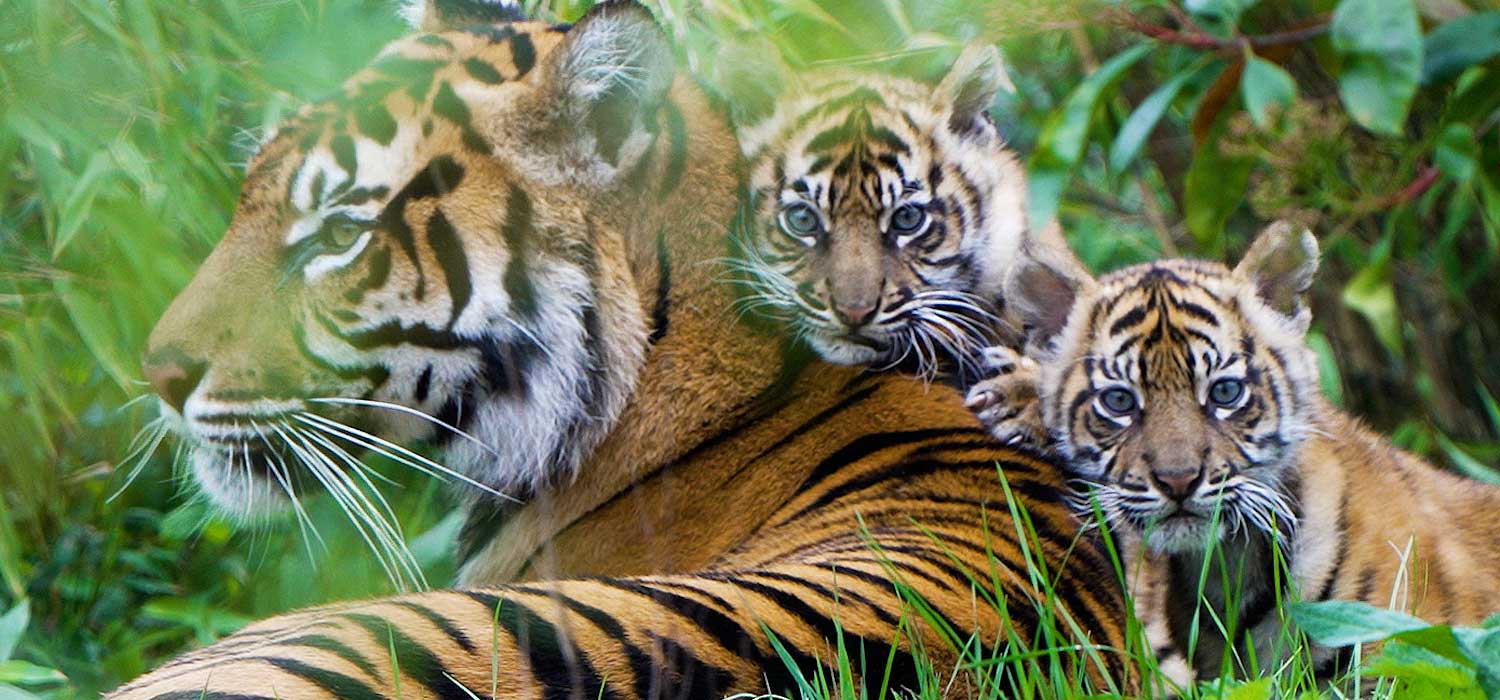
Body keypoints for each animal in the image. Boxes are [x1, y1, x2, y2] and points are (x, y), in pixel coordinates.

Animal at [966, 224, 1500, 689]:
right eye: (1119, 401)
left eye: (1224, 392)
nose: (1178, 480)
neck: (1224, 567)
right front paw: (1016, 392)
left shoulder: (1415, 658)